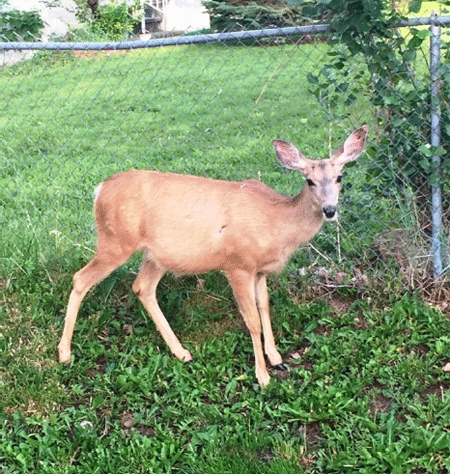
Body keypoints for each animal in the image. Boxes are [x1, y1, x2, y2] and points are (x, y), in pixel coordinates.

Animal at [59, 127, 370, 388]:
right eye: (310, 181)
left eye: (340, 177)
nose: (330, 210)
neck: (277, 222)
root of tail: (100, 190)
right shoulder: (238, 264)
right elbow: (252, 319)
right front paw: (262, 376)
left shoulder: (260, 270)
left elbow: (265, 308)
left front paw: (276, 358)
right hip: (115, 241)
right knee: (81, 279)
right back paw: (64, 353)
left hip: (156, 255)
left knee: (142, 287)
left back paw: (182, 352)